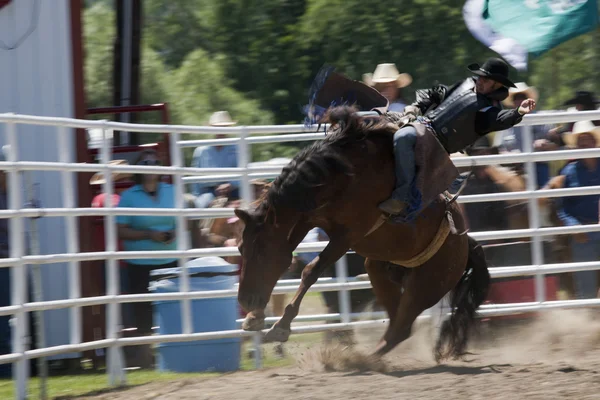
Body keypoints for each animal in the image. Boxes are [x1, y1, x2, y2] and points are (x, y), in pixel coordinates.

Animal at [232, 105, 490, 360]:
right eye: (241, 248)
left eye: (262, 250)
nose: (244, 300)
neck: (343, 176)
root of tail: (465, 244)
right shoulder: (306, 219)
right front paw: (255, 318)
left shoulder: (347, 236)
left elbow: (310, 271)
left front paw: (280, 327)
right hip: (379, 269)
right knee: (397, 323)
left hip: (426, 286)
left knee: (403, 325)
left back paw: (361, 359)